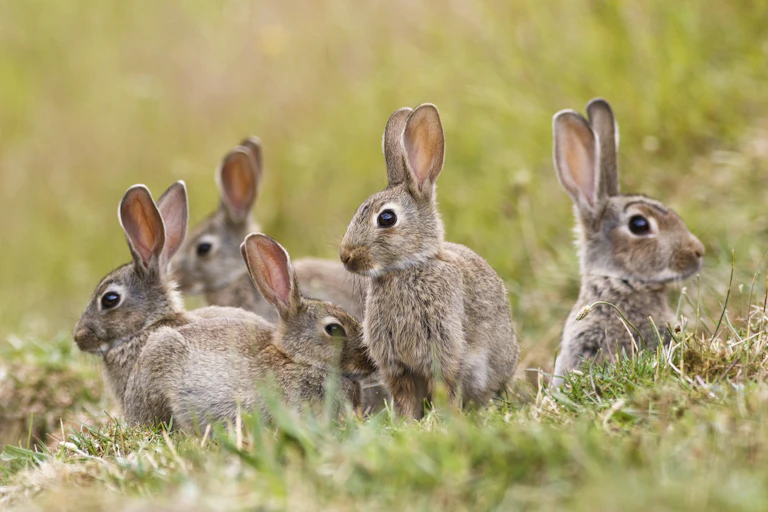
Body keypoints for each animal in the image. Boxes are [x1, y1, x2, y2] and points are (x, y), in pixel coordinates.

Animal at [339, 104, 520, 420]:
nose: (345, 256)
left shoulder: (444, 350)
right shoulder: (396, 365)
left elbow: (445, 388)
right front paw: (407, 423)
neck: (407, 268)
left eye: (387, 218)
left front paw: (446, 420)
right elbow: (404, 397)